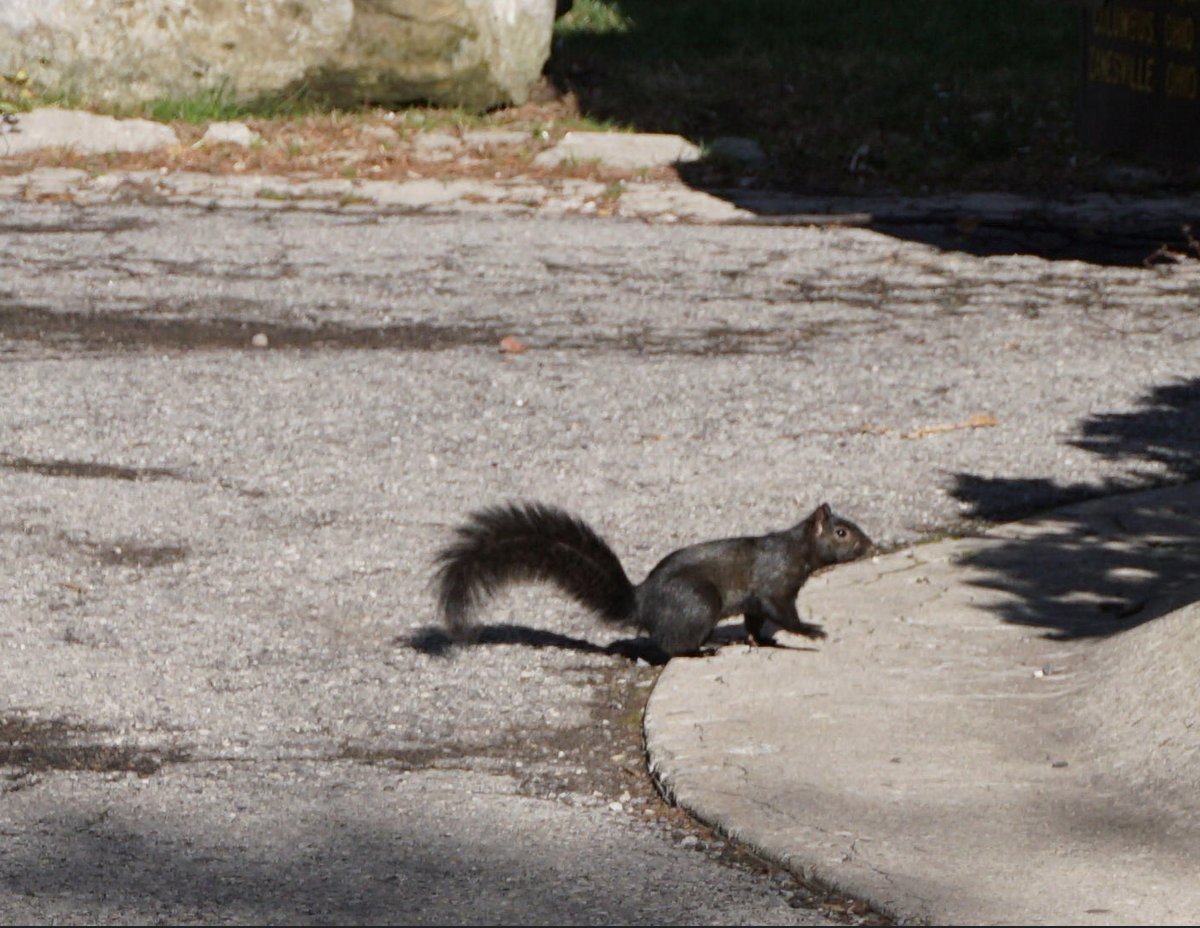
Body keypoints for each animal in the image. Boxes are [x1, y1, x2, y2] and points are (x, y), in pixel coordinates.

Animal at [434, 500, 873, 658]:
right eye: (841, 532)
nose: (870, 545)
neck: (796, 550)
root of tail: (641, 602)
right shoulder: (775, 584)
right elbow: (782, 614)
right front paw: (812, 631)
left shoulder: (757, 598)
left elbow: (755, 621)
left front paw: (761, 640)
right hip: (699, 603)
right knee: (672, 646)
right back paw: (702, 649)